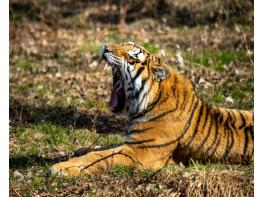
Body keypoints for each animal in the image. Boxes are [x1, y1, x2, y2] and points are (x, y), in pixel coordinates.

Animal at [48, 42, 255, 177]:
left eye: (131, 57)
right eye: (122, 44)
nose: (106, 47)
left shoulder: (140, 151)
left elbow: (102, 157)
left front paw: (61, 168)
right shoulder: (133, 143)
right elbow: (102, 149)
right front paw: (78, 151)